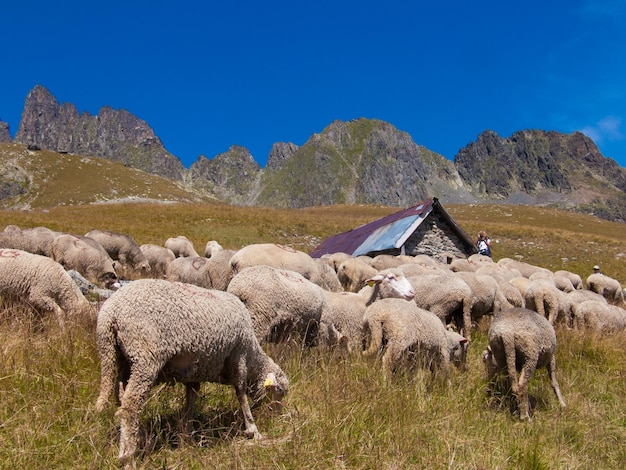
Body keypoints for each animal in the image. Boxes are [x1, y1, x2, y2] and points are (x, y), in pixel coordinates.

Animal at [94, 278, 288, 464]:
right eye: (279, 391)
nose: (277, 416)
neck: (253, 353)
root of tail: (109, 313)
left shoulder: (195, 371)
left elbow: (191, 401)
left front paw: (187, 434)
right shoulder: (238, 356)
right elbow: (241, 394)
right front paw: (253, 429)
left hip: (123, 359)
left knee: (121, 398)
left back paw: (135, 438)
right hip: (145, 356)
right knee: (131, 404)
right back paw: (128, 456)